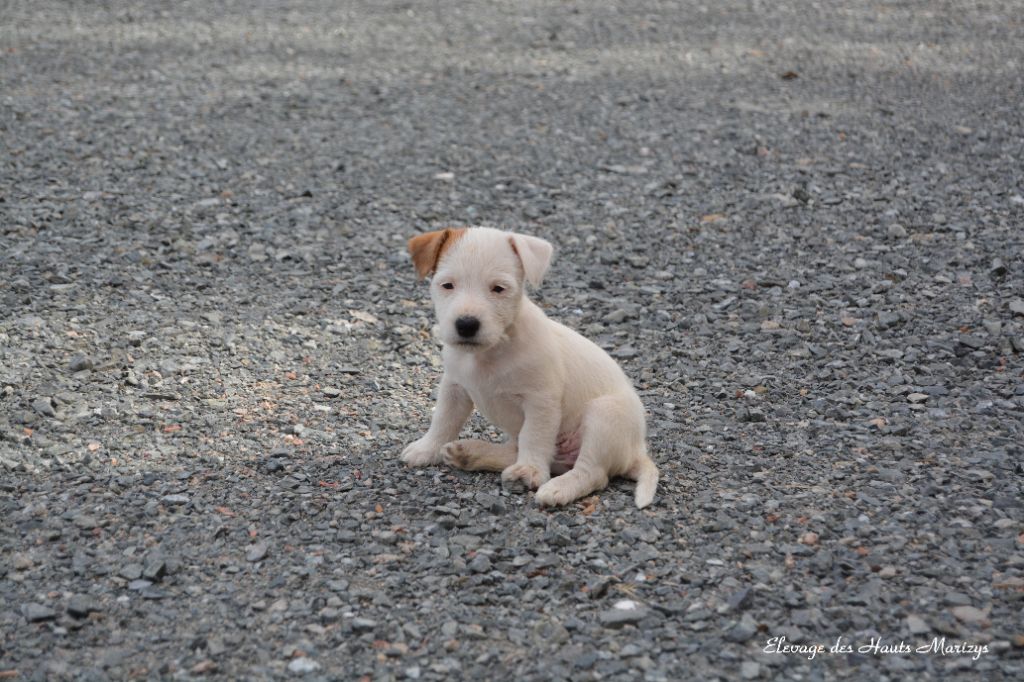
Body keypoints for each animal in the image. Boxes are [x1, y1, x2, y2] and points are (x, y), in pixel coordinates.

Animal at [400, 227, 658, 509]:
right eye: (447, 285)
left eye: (498, 288)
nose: (466, 325)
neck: (490, 351)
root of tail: (637, 452)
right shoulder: (454, 387)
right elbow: (444, 419)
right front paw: (427, 448)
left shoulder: (540, 401)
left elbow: (533, 436)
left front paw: (529, 470)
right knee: (519, 450)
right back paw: (469, 454)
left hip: (605, 416)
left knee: (592, 473)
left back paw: (558, 487)